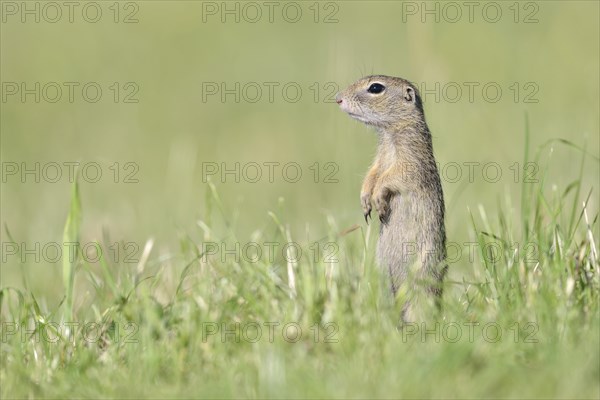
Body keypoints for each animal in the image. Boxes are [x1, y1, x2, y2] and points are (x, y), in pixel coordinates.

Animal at [336, 74, 448, 318]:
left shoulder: (410, 160)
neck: (389, 134)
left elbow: (392, 177)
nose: (337, 99)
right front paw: (365, 199)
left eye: (376, 88)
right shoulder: (379, 158)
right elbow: (373, 173)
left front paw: (378, 198)